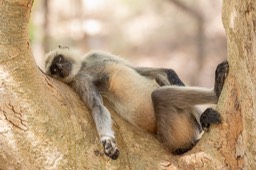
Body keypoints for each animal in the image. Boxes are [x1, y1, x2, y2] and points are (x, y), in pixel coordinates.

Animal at [43, 45, 228, 159]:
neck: (84, 68)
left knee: (161, 83)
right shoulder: (80, 81)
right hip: (172, 134)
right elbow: (98, 106)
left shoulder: (96, 55)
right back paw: (216, 92)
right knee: (161, 95)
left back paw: (206, 114)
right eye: (54, 70)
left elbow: (136, 69)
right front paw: (107, 141)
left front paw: (171, 73)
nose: (60, 69)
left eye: (59, 60)